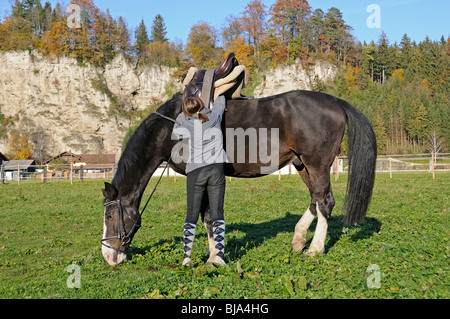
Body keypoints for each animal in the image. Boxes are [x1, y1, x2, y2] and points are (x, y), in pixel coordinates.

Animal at [101, 90, 376, 268]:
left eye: (110, 216)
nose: (108, 256)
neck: (171, 129)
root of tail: (336, 101)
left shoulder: (200, 176)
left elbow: (207, 217)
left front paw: (214, 258)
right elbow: (207, 217)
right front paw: (214, 253)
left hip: (316, 164)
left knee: (325, 202)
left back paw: (315, 249)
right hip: (302, 165)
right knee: (316, 200)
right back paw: (299, 239)